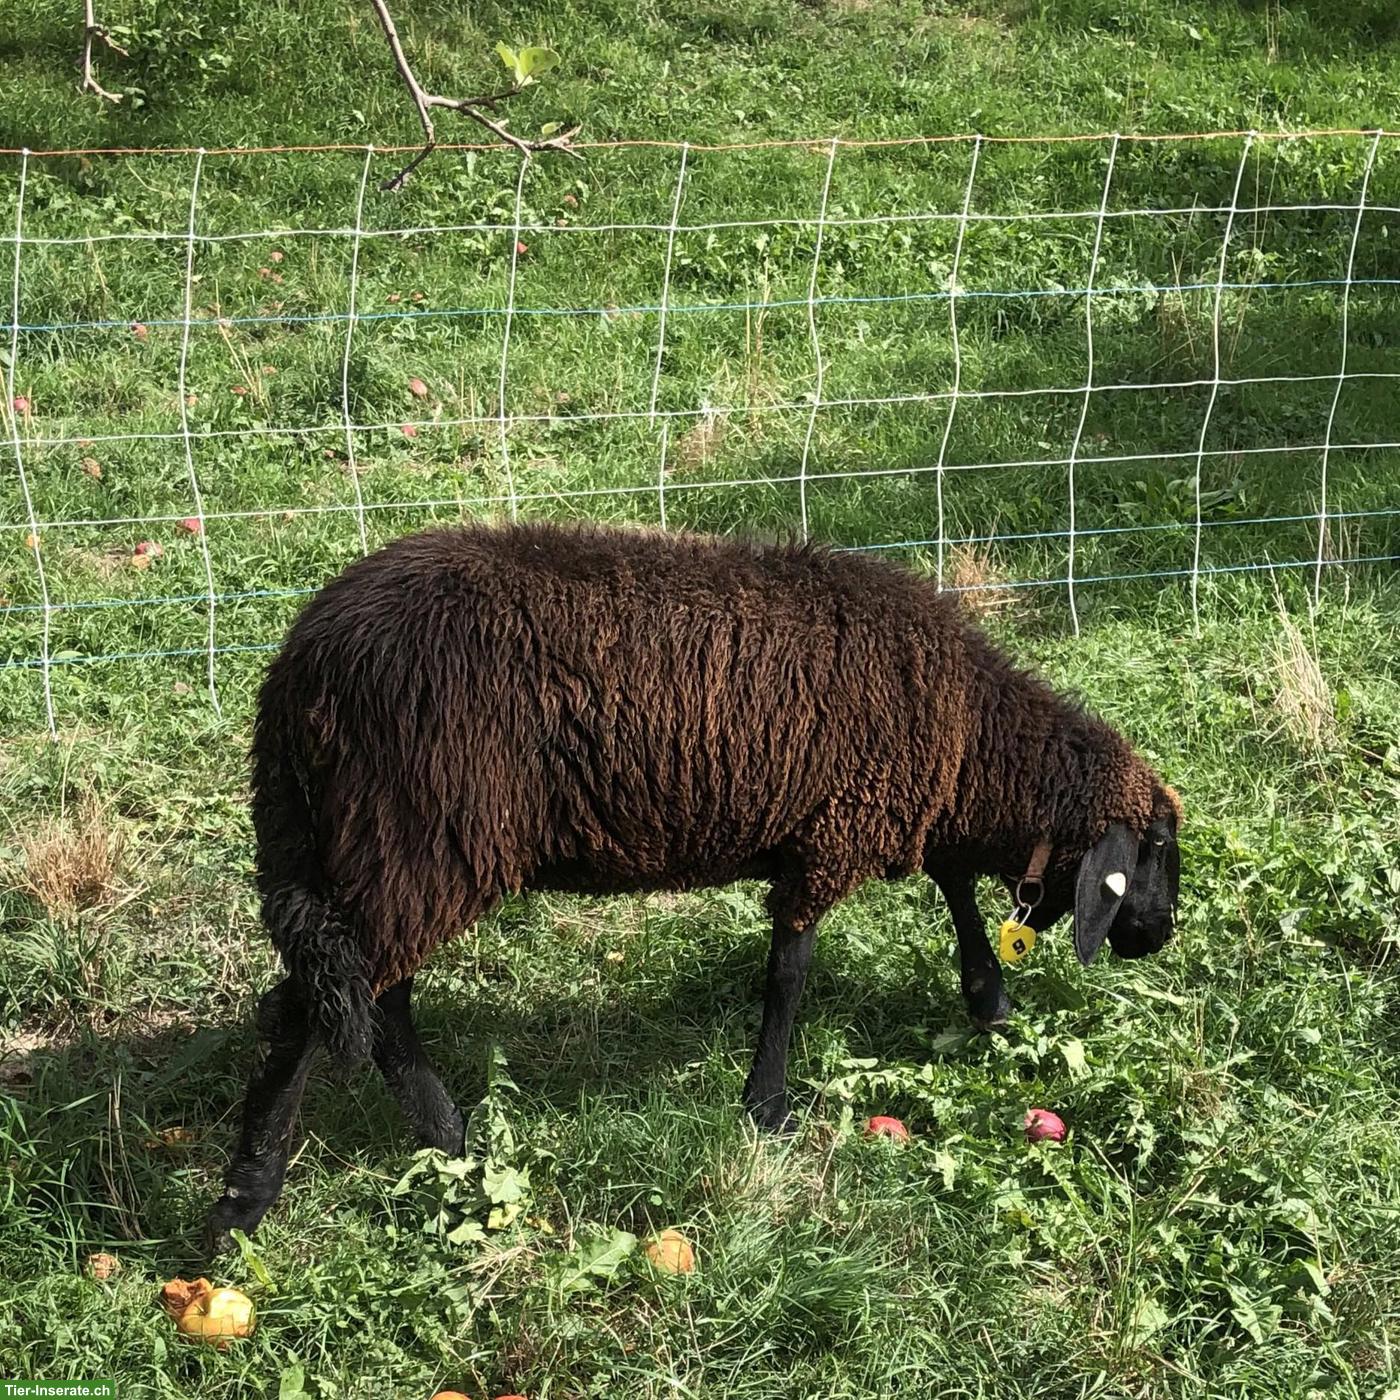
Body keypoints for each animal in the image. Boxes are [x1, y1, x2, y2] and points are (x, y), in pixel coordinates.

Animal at [207, 521, 1181, 1248]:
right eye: (1158, 848)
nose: (1159, 935)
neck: (970, 739)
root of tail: (299, 668)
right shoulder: (830, 833)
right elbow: (790, 975)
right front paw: (768, 1107)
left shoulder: (902, 804)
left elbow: (952, 884)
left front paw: (989, 999)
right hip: (414, 837)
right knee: (314, 1004)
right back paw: (246, 1199)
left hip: (375, 844)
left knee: (370, 998)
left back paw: (447, 1140)